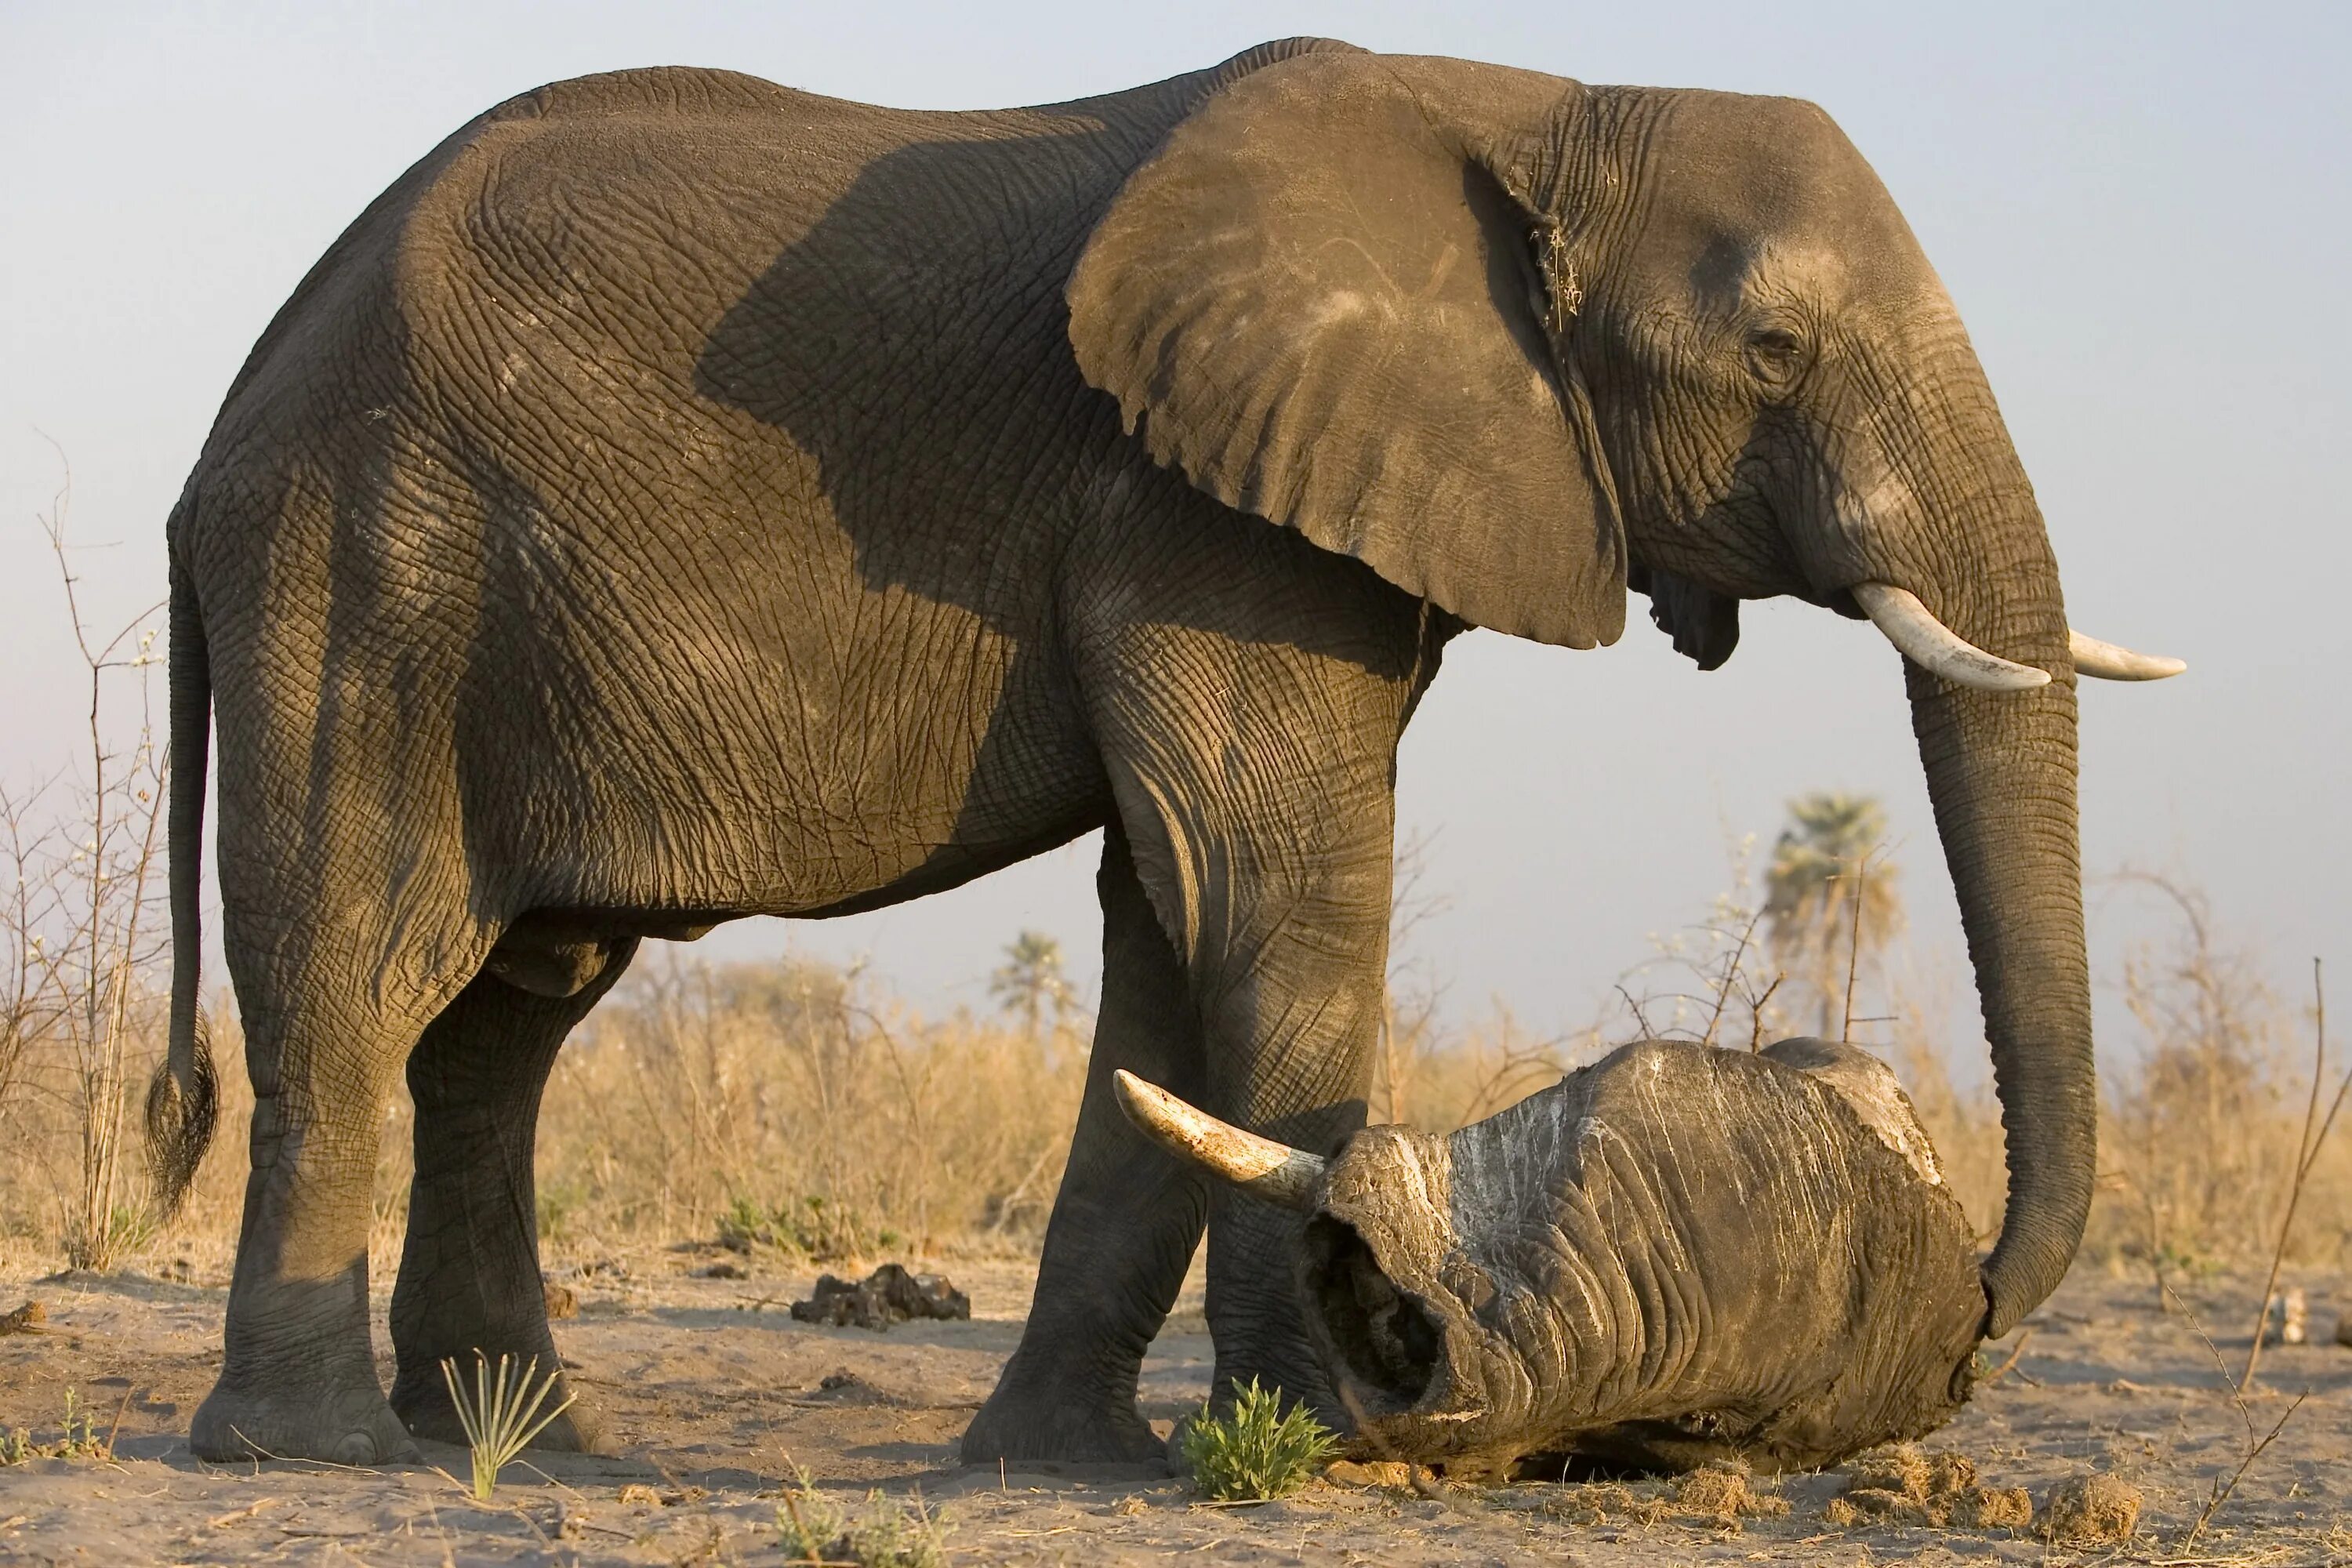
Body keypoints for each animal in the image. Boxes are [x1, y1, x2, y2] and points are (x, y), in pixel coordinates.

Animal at [142, 36, 2164, 1467]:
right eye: (1771, 348)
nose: (1969, 1293)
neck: (1526, 105)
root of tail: (226, 424)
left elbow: (1165, 930)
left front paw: (1070, 1463)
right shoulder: (1203, 511)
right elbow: (1273, 888)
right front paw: (1312, 1431)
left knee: (509, 1015)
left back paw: (518, 1440)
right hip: (368, 571)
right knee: (358, 973)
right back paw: (309, 1454)